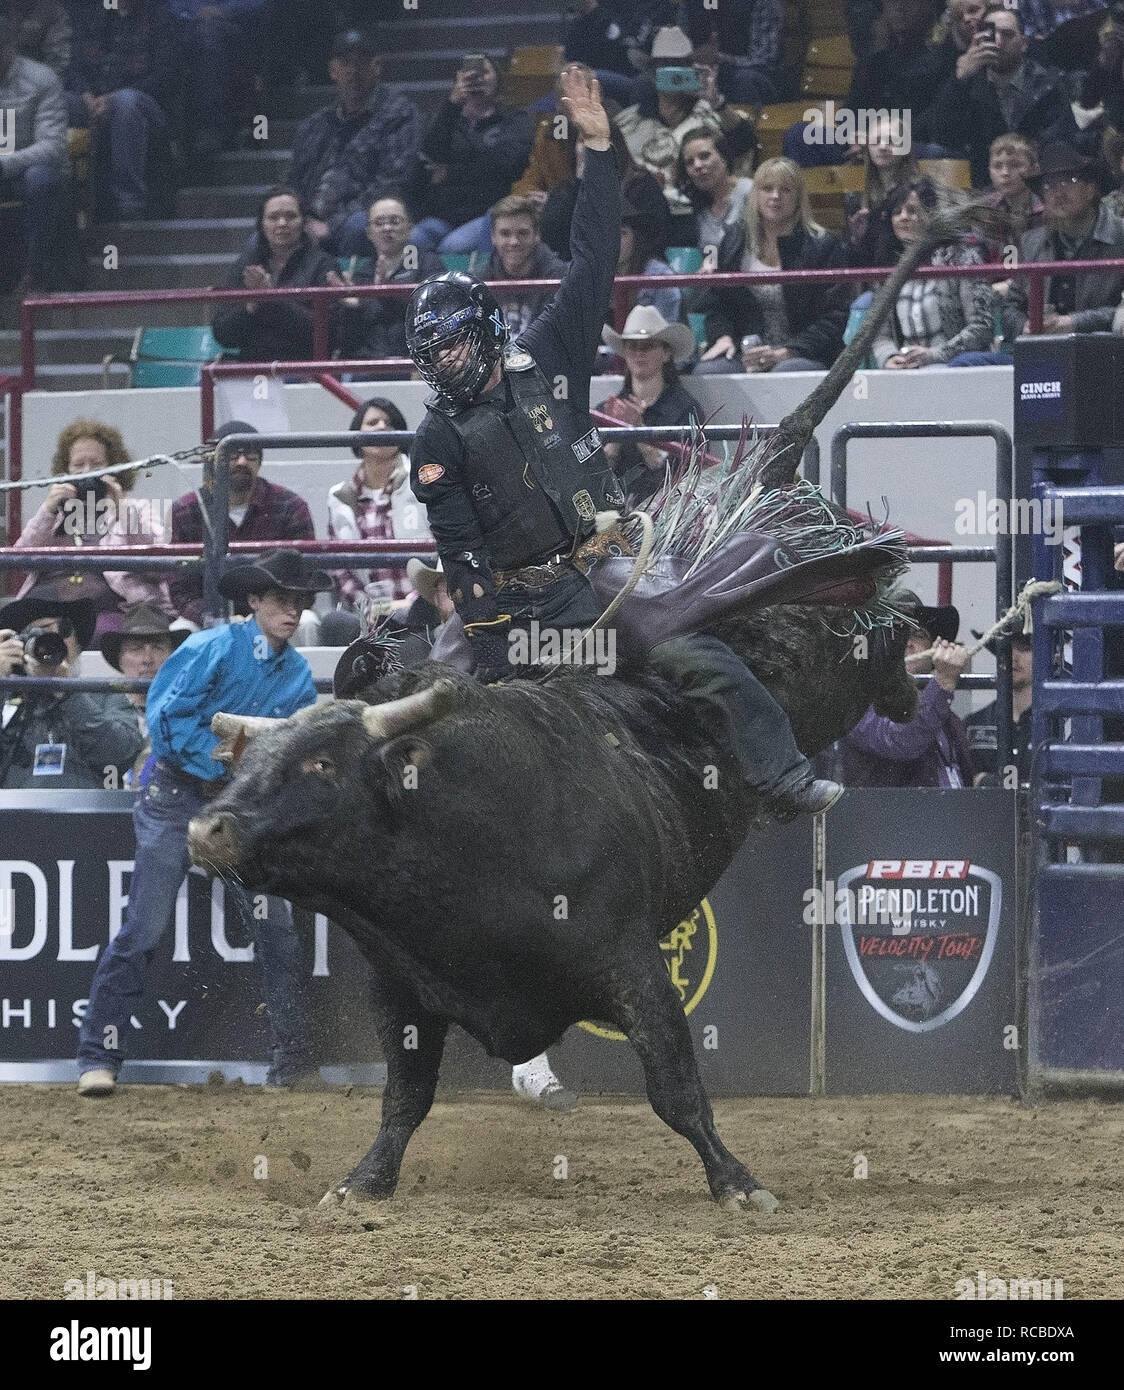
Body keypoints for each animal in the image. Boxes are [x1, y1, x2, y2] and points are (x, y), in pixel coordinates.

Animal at [188, 603, 916, 1212]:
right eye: (245, 762)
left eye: (321, 764)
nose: (207, 829)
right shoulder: (399, 988)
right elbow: (405, 1097)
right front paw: (363, 1182)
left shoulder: (634, 970)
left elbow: (676, 1091)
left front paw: (737, 1184)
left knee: (859, 628)